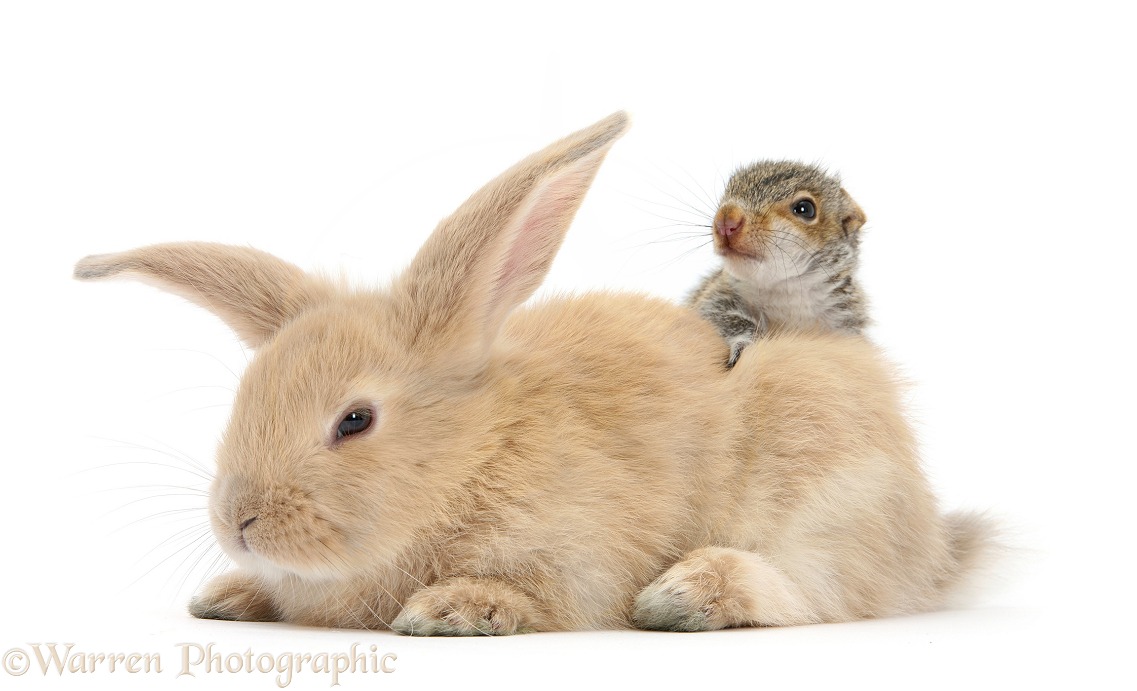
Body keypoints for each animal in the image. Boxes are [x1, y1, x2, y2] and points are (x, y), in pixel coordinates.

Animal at [682, 160, 868, 368]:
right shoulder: (714, 298)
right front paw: (746, 344)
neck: (787, 290)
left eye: (805, 208)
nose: (725, 219)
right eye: (729, 189)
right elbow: (719, 317)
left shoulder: (845, 324)